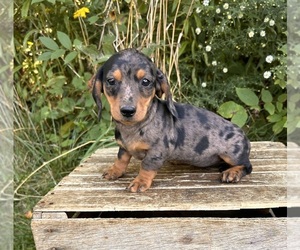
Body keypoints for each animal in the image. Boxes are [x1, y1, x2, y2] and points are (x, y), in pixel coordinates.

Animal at [90, 49, 252, 193]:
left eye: (146, 81)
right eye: (111, 81)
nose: (128, 111)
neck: (135, 127)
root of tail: (243, 135)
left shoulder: (156, 151)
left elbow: (146, 166)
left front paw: (140, 181)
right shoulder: (123, 147)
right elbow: (121, 158)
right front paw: (115, 171)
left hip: (231, 154)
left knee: (248, 166)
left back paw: (233, 172)